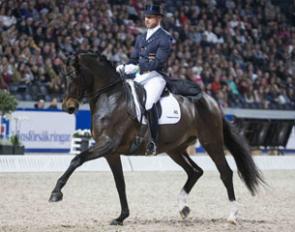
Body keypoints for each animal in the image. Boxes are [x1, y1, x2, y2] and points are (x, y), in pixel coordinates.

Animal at [48, 50, 264, 225]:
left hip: (211, 142)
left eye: (74, 75)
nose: (68, 107)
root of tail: (212, 101)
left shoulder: (108, 144)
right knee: (195, 171)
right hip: (175, 149)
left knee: (225, 173)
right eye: (63, 76)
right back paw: (183, 208)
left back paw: (233, 215)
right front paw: (121, 217)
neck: (111, 97)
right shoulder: (111, 152)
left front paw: (56, 193)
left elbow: (77, 159)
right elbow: (120, 183)